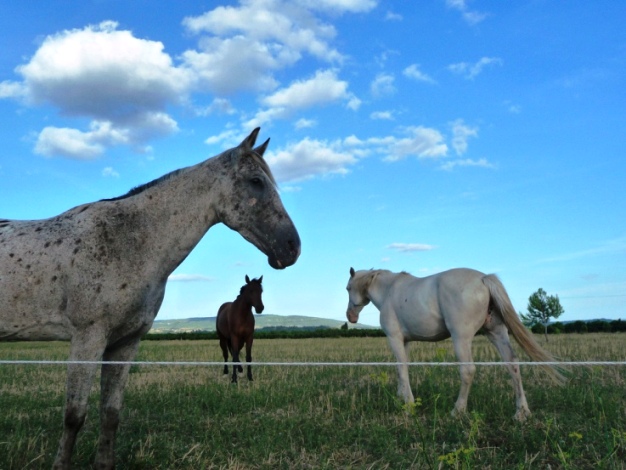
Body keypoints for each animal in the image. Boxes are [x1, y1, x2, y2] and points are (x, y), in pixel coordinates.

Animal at [0, 129, 300, 470]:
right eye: (256, 181)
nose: (292, 247)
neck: (130, 240)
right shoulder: (87, 338)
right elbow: (74, 416)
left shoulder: (125, 342)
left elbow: (110, 413)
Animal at [344, 266, 564, 420]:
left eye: (347, 288)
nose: (350, 316)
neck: (390, 290)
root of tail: (483, 279)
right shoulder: (405, 341)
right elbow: (402, 368)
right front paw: (402, 397)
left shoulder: (395, 338)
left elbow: (402, 368)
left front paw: (409, 405)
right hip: (496, 333)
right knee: (513, 365)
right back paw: (521, 412)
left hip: (461, 337)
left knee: (468, 370)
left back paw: (457, 410)